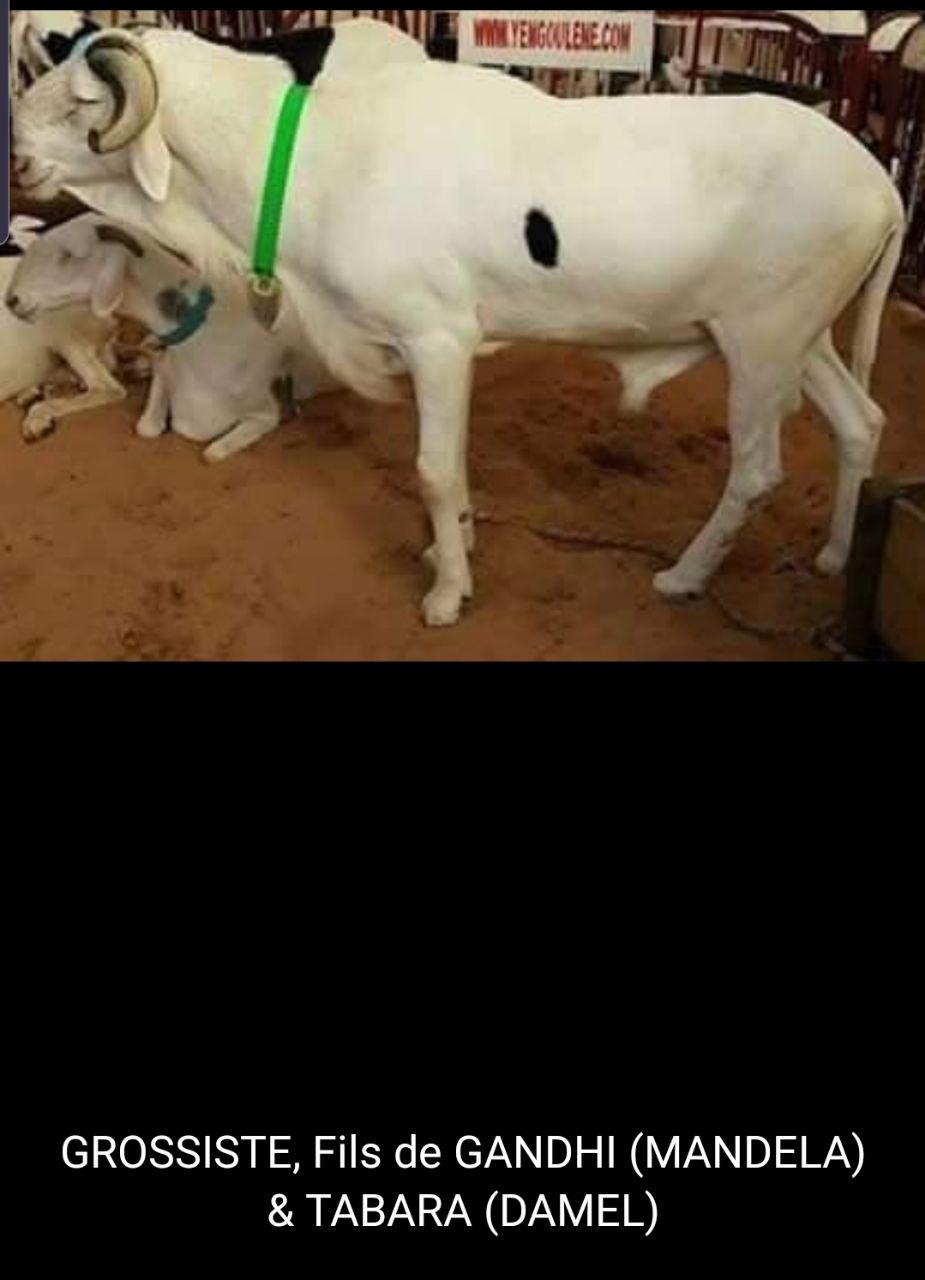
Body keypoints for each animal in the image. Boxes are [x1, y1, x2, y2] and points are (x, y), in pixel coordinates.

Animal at [7, 215, 340, 463]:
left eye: (68, 255)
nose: (11, 300)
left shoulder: (265, 413)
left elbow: (211, 451)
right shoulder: (165, 375)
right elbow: (147, 427)